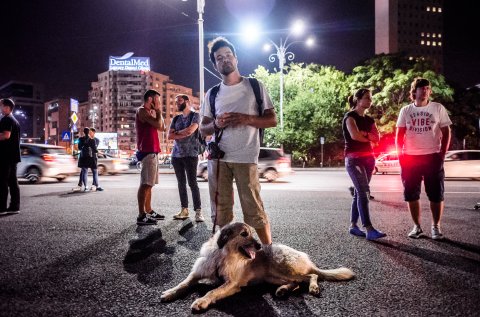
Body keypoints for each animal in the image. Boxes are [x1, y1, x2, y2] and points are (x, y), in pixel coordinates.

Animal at [160, 222, 352, 312]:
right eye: (244, 234)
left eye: (252, 233)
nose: (260, 246)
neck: (223, 255)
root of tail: (306, 258)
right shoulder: (198, 272)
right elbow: (184, 283)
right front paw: (170, 292)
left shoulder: (231, 283)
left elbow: (212, 291)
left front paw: (201, 301)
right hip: (272, 276)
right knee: (296, 283)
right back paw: (283, 290)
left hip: (280, 266)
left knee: (311, 276)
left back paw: (313, 287)